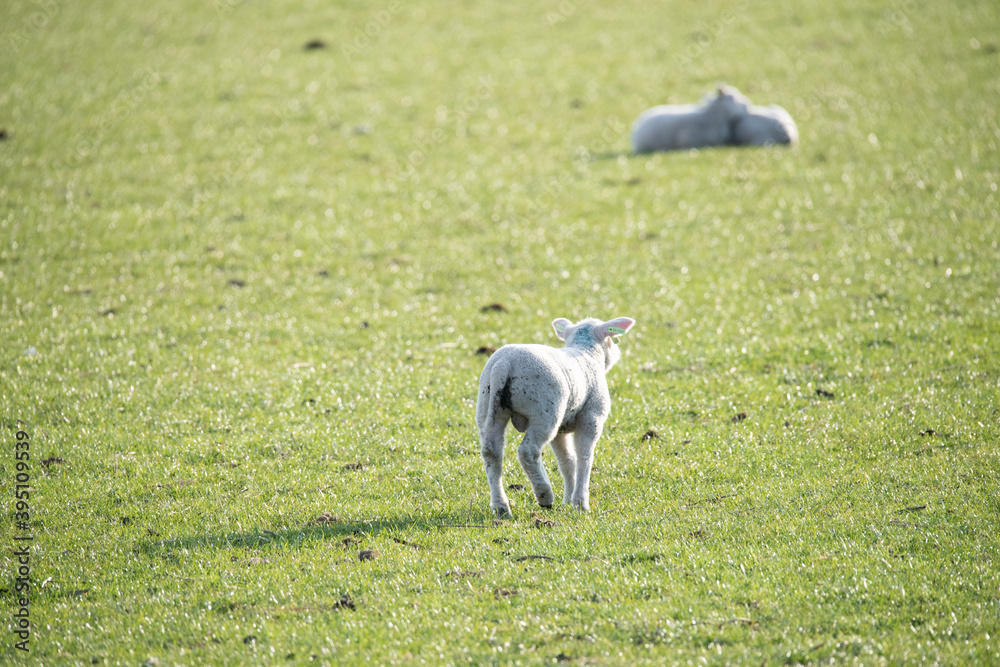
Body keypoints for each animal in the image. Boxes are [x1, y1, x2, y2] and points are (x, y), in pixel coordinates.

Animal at [475, 316, 636, 516]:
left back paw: (501, 508)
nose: (617, 352)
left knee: (491, 453)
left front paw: (568, 500)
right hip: (544, 413)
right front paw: (580, 503)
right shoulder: (592, 418)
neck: (587, 353)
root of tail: (503, 364)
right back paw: (544, 495)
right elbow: (584, 458)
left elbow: (567, 461)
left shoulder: (561, 428)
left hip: (489, 407)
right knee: (527, 451)